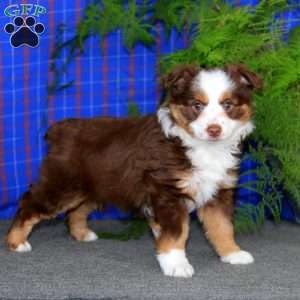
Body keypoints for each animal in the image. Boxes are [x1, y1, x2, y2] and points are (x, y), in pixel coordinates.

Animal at [5, 63, 262, 278]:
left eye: (228, 105)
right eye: (196, 105)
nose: (214, 129)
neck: (201, 147)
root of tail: (61, 129)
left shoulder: (218, 192)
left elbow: (222, 226)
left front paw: (232, 253)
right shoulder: (168, 193)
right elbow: (177, 232)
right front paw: (176, 264)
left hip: (93, 187)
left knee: (75, 211)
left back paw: (82, 234)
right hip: (62, 185)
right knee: (29, 204)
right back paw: (16, 242)